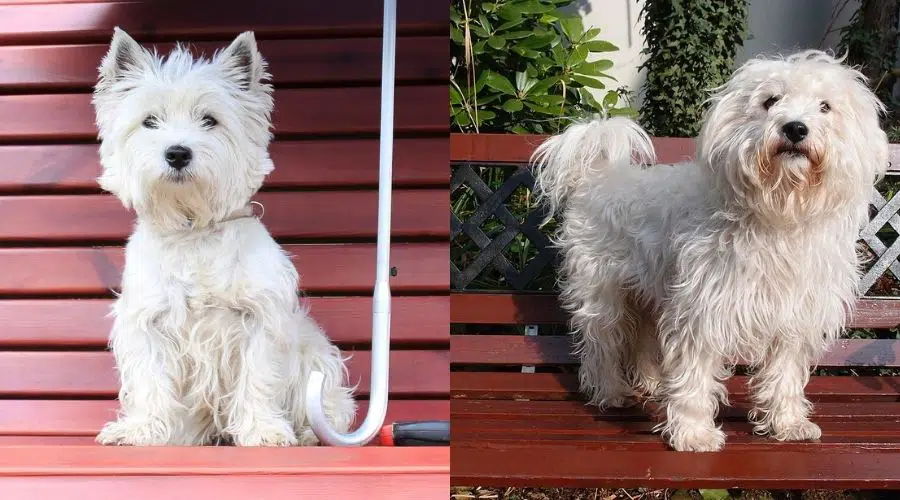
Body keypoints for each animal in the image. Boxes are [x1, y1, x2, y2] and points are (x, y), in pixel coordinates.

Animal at [91, 28, 356, 446]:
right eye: (149, 121)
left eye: (209, 120)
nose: (177, 153)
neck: (193, 230)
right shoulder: (147, 321)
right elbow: (150, 380)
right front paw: (140, 429)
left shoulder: (259, 319)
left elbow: (258, 378)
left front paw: (264, 430)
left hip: (316, 361)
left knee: (331, 408)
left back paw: (310, 434)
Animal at [532, 50, 888, 454]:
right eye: (770, 101)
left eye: (825, 106)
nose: (796, 128)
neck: (780, 214)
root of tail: (598, 175)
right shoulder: (702, 310)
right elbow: (695, 375)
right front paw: (693, 433)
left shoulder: (795, 316)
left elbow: (783, 375)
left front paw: (788, 423)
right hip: (604, 295)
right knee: (602, 345)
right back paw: (610, 392)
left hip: (649, 295)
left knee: (642, 340)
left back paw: (651, 383)